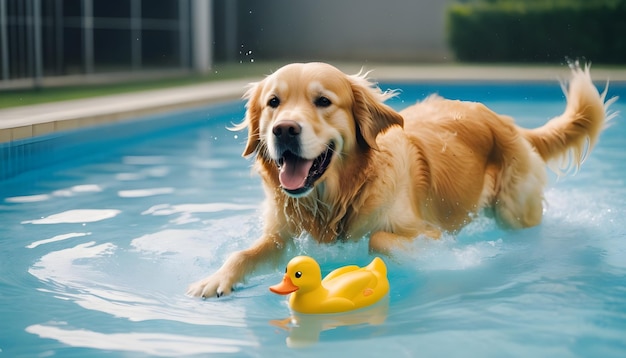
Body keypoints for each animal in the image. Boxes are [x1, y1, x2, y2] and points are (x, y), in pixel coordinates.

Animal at [186, 62, 616, 300]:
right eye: (273, 103)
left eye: (323, 101)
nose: (284, 130)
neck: (336, 197)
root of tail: (504, 121)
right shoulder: (282, 233)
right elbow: (244, 253)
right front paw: (215, 280)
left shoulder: (426, 231)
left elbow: (378, 238)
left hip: (514, 209)